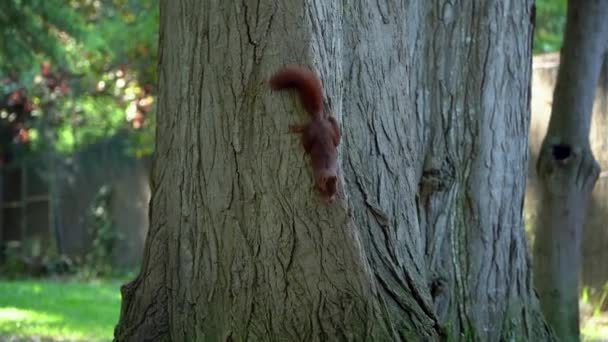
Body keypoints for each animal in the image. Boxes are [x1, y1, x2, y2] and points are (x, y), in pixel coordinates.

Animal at [270, 65, 342, 202]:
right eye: (325, 189)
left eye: (335, 190)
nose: (330, 200)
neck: (327, 170)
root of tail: (319, 121)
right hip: (310, 136)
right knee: (306, 139)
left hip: (330, 134)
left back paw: (330, 116)